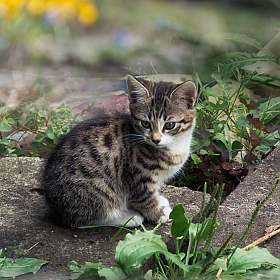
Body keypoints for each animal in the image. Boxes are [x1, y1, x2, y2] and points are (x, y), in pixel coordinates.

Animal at [43, 75, 197, 228]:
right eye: (145, 123)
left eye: (170, 125)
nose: (156, 139)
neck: (175, 146)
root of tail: (54, 207)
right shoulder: (137, 177)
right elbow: (145, 198)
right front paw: (158, 214)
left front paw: (160, 201)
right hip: (95, 189)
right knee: (90, 217)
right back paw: (128, 217)